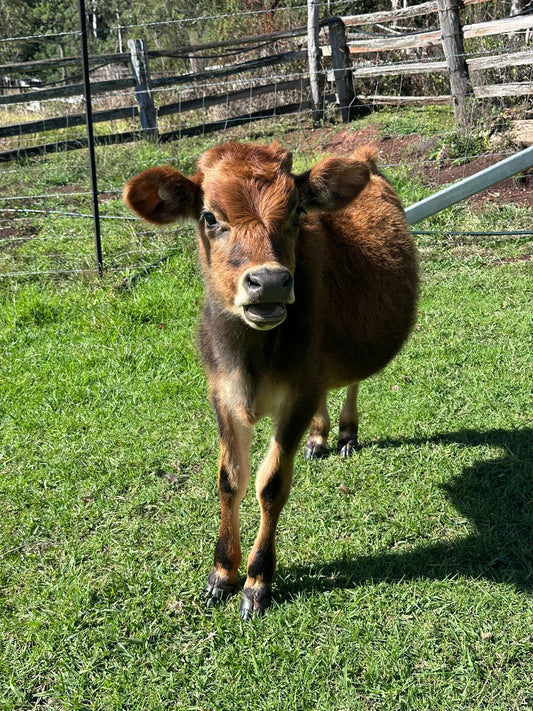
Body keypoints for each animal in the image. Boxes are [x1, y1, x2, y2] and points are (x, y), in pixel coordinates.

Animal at [123, 140, 418, 620]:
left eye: (297, 212)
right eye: (209, 217)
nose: (271, 282)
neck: (251, 357)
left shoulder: (298, 394)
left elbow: (271, 483)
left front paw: (257, 582)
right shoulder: (222, 394)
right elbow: (230, 480)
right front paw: (221, 574)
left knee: (351, 381)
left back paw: (346, 434)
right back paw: (318, 439)